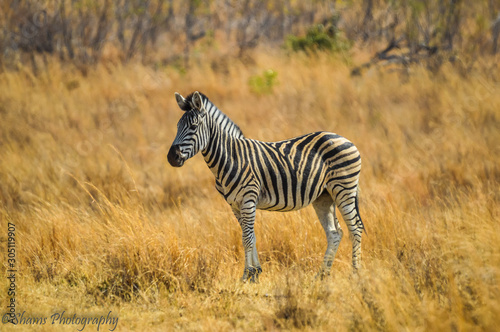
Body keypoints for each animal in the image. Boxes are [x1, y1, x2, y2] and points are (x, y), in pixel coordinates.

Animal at [167, 91, 364, 282]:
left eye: (193, 127)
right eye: (177, 126)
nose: (171, 157)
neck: (231, 158)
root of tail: (345, 139)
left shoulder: (248, 199)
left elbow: (246, 238)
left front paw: (246, 275)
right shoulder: (234, 204)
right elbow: (250, 235)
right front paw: (255, 272)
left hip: (344, 188)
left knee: (355, 228)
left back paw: (355, 274)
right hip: (324, 196)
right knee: (334, 233)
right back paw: (322, 274)